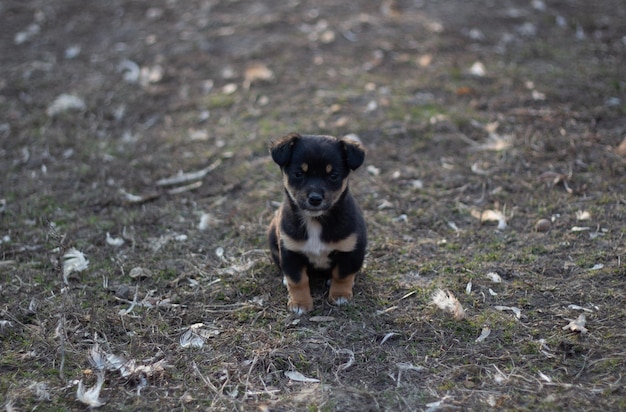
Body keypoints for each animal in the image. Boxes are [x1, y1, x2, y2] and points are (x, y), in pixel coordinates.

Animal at [266, 134, 366, 314]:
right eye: (299, 173)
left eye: (333, 175)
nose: (315, 199)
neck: (315, 221)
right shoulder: (291, 252)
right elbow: (297, 281)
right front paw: (299, 304)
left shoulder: (350, 250)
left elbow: (342, 275)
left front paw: (340, 295)